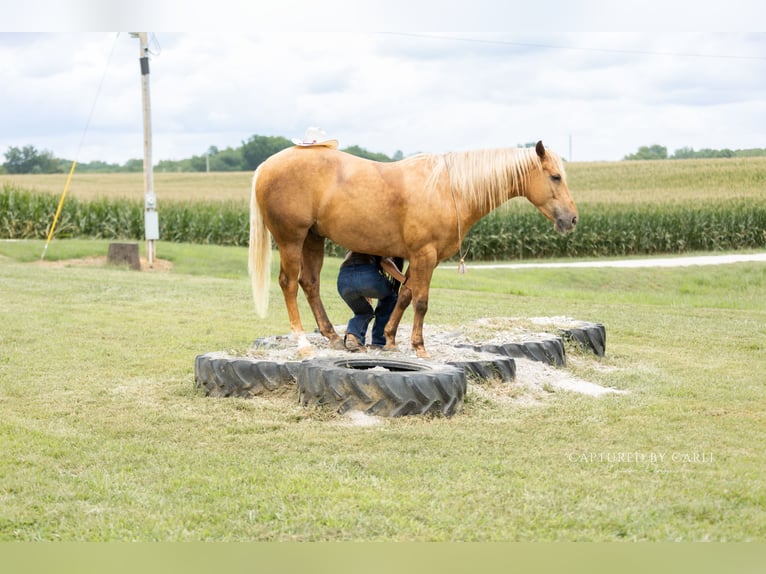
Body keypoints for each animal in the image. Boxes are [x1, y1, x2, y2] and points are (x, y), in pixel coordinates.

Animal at [249, 140, 577, 358]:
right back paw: (303, 344)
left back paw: (332, 336)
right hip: (291, 240)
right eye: (555, 176)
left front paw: (391, 339)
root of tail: (266, 165)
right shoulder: (425, 255)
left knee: (310, 283)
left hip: (313, 239)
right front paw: (419, 347)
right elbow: (421, 301)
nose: (572, 219)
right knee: (289, 285)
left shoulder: (418, 259)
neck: (448, 189)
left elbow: (404, 295)